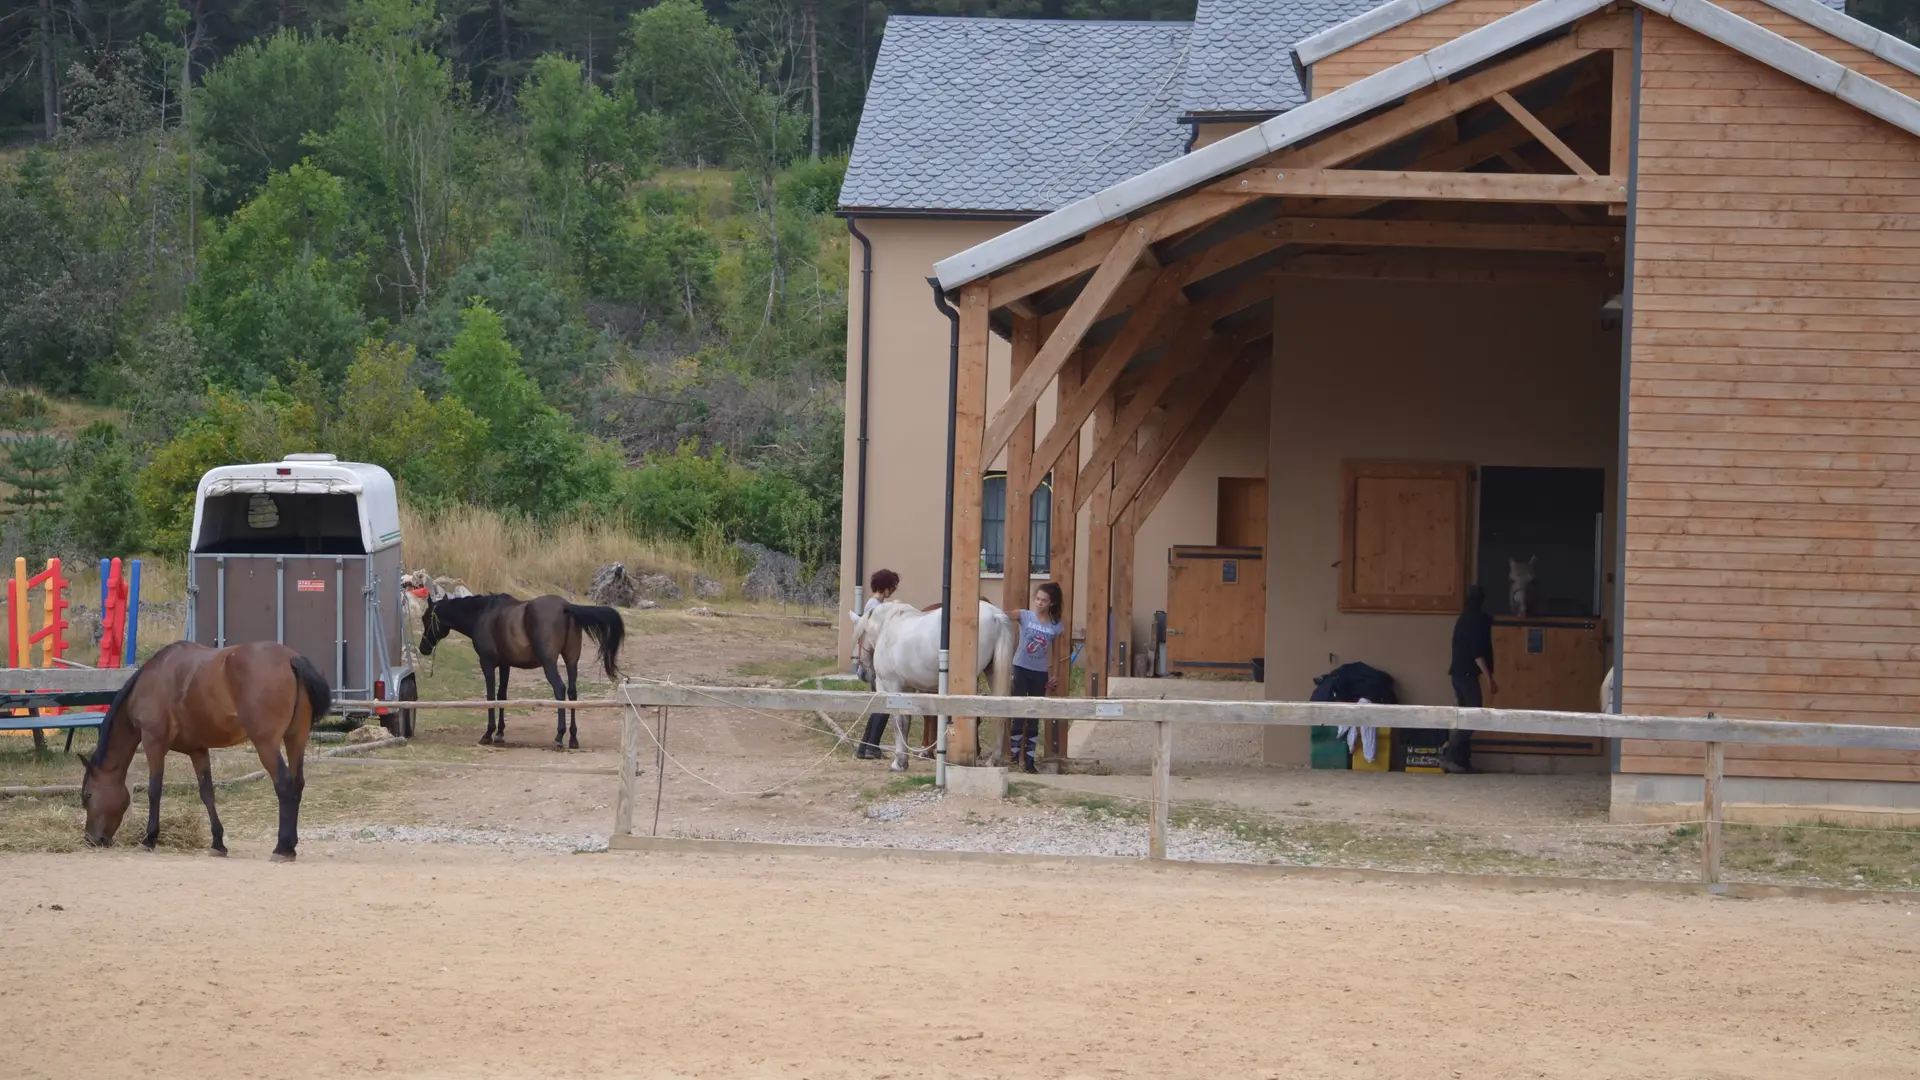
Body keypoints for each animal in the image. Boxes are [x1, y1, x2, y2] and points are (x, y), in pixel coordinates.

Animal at [76, 640, 333, 860]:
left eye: (88, 795)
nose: (92, 839)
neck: (153, 678)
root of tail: (291, 658)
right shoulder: (198, 750)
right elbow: (207, 793)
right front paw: (218, 843)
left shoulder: (153, 742)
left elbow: (154, 791)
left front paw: (149, 839)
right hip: (295, 739)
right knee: (297, 784)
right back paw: (291, 846)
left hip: (266, 744)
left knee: (284, 784)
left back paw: (281, 848)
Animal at [418, 593, 626, 749]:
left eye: (426, 618)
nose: (423, 648)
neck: (484, 614)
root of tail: (565, 607)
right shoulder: (505, 665)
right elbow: (502, 696)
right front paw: (500, 733)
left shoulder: (487, 663)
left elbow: (491, 696)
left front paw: (488, 734)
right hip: (571, 661)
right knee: (573, 693)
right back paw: (573, 739)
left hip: (549, 663)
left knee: (560, 689)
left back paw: (559, 737)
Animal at [848, 599, 1016, 771]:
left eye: (858, 638)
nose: (862, 673)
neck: (887, 626)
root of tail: (995, 615)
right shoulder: (907, 689)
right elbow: (906, 722)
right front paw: (905, 761)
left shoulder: (893, 686)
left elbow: (898, 722)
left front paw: (899, 762)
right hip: (993, 674)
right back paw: (994, 760)